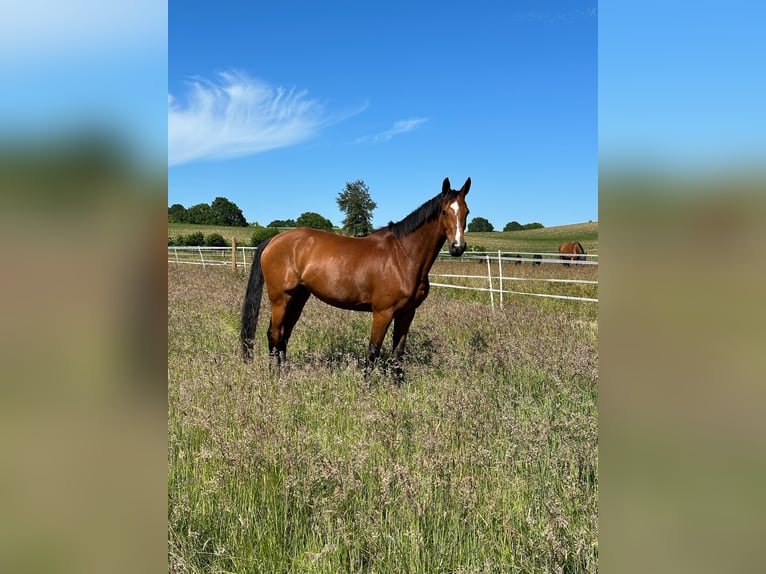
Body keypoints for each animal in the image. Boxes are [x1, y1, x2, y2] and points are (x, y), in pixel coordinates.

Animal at [240, 176, 472, 382]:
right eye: (444, 211)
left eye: (466, 212)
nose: (457, 247)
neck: (403, 255)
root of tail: (273, 240)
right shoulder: (383, 312)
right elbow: (373, 351)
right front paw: (366, 388)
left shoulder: (407, 313)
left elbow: (398, 353)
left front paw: (396, 387)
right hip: (280, 299)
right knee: (274, 334)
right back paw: (276, 376)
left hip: (298, 298)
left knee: (283, 334)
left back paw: (285, 374)